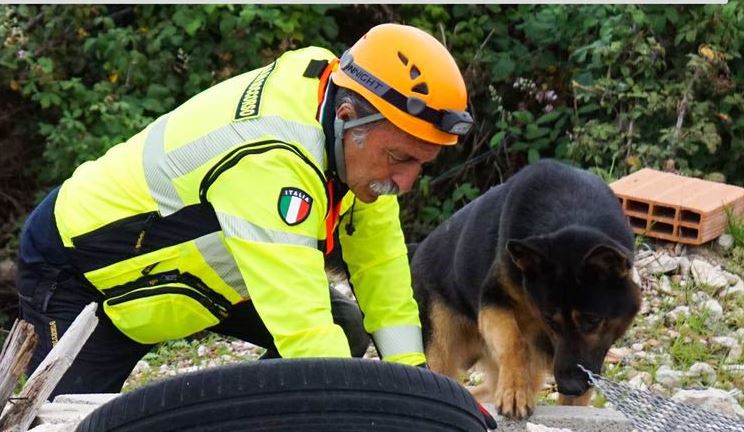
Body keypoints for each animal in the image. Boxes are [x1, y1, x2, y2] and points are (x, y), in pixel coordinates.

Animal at [410, 159, 644, 418]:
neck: (572, 214)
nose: (569, 387)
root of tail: (417, 249)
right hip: (440, 349)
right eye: (549, 320)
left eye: (592, 320)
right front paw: (514, 391)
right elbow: (515, 342)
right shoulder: (493, 302)